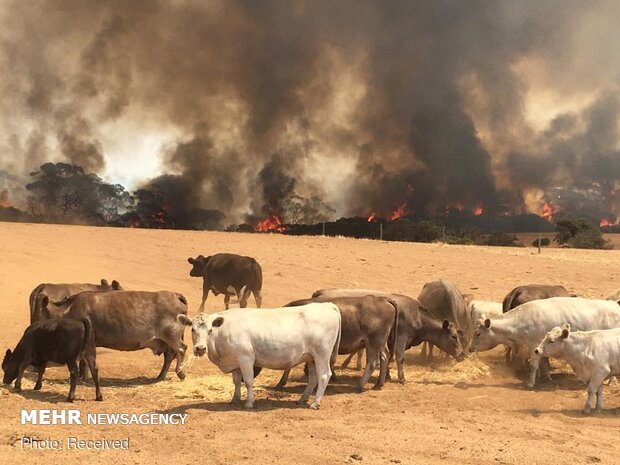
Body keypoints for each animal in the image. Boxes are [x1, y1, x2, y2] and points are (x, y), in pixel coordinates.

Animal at [42, 290, 188, 380]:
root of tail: (175, 295)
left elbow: (84, 361)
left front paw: (83, 377)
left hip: (172, 335)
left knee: (181, 349)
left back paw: (180, 372)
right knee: (169, 356)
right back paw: (160, 376)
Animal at [177, 302, 342, 408]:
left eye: (210, 330)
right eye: (192, 329)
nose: (200, 348)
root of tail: (327, 305)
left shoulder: (246, 358)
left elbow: (248, 381)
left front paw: (249, 402)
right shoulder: (235, 361)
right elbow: (236, 381)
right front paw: (235, 399)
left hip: (322, 355)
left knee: (324, 376)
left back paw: (315, 403)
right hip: (311, 357)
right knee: (313, 378)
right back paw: (302, 399)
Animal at [312, 288, 462, 382]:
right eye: (453, 336)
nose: (462, 354)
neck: (416, 316)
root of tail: (320, 292)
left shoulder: (389, 341)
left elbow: (388, 357)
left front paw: (386, 375)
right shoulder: (401, 337)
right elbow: (399, 357)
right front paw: (401, 378)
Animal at [470, 298, 620, 388]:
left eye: (477, 333)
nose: (470, 348)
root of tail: (615, 305)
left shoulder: (534, 347)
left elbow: (534, 366)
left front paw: (530, 383)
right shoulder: (540, 347)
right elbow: (544, 364)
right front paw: (547, 378)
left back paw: (610, 381)